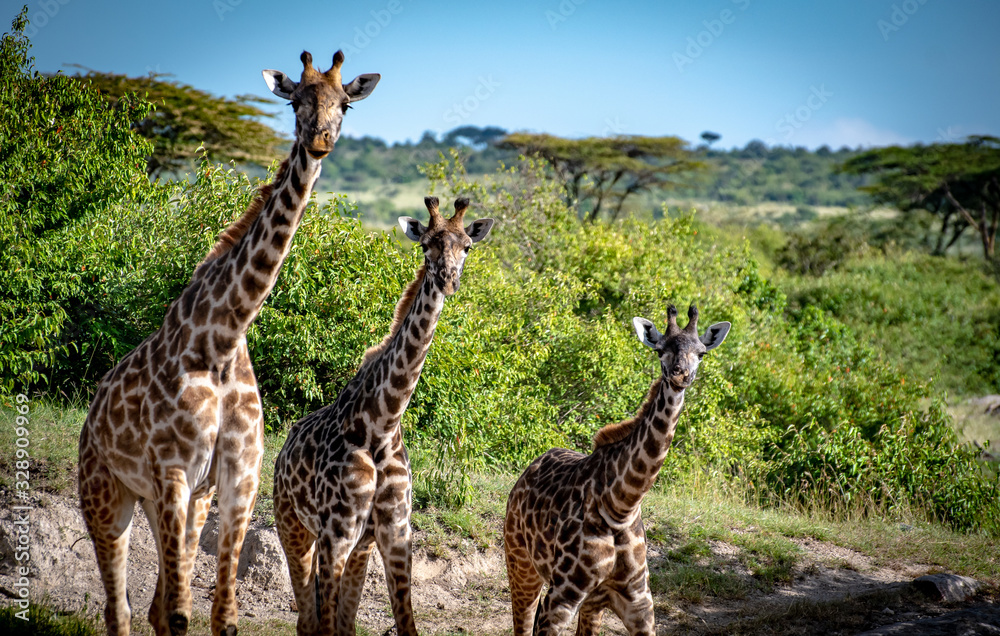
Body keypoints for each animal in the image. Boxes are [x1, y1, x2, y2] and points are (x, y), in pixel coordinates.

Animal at [77, 51, 379, 636]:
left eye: (346, 104)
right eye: (295, 99)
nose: (320, 140)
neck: (223, 334)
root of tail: (88, 420)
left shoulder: (238, 476)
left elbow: (220, 616)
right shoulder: (173, 469)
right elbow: (179, 614)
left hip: (179, 501)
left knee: (151, 604)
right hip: (108, 494)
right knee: (118, 607)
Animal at [272, 196, 493, 636]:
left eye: (467, 247)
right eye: (425, 244)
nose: (448, 280)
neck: (382, 422)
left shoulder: (394, 532)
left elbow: (404, 622)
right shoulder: (336, 534)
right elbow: (326, 623)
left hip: (359, 544)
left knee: (337, 621)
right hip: (293, 526)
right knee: (308, 618)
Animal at [503, 305, 730, 636]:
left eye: (701, 353)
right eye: (660, 349)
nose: (680, 374)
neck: (621, 505)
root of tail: (527, 471)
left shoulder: (640, 606)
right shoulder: (559, 602)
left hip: (592, 603)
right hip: (521, 563)